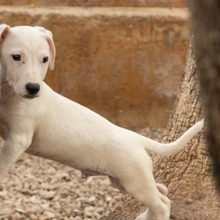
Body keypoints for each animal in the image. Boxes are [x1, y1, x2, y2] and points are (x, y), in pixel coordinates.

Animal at [0, 24, 204, 220]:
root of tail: (137, 139)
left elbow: (3, 162)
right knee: (162, 193)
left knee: (161, 204)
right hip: (124, 181)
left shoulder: (19, 138)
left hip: (135, 181)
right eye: (16, 57)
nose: (33, 88)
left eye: (45, 59)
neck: (8, 92)